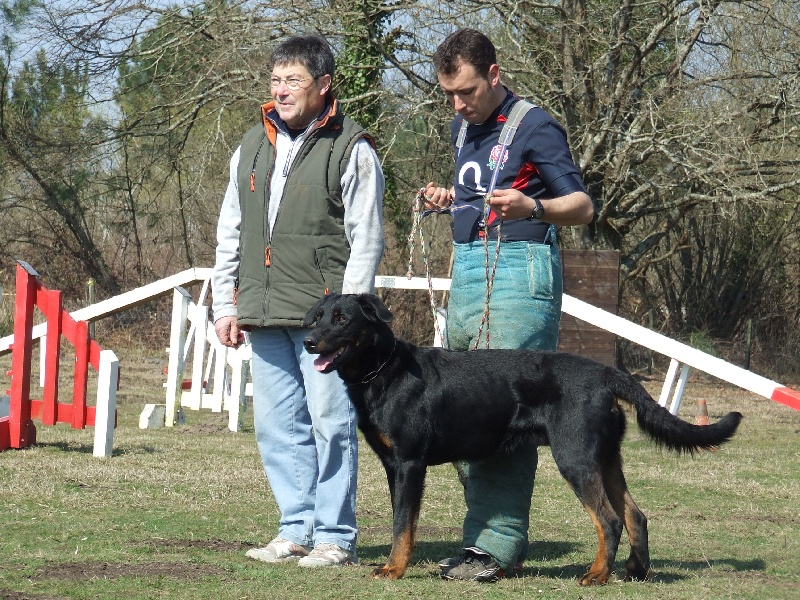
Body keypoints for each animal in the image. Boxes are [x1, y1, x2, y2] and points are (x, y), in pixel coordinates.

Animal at [302, 292, 744, 584]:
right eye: (318, 316)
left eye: (342, 319)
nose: (308, 342)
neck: (383, 370)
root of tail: (607, 374)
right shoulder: (393, 466)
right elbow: (401, 522)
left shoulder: (410, 465)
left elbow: (402, 525)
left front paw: (394, 568)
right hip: (605, 459)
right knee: (635, 515)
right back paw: (635, 570)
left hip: (576, 458)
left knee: (609, 519)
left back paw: (596, 575)